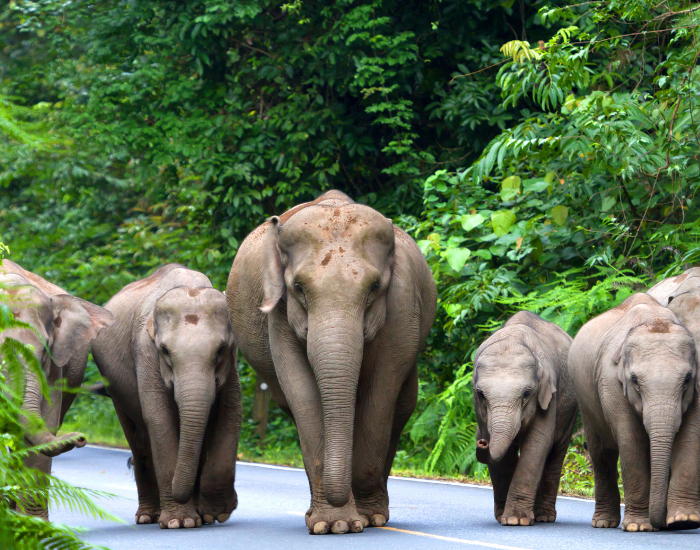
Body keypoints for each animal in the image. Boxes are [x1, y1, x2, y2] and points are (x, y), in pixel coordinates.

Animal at [91, 264, 241, 529]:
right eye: (165, 352)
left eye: (220, 350)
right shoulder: (144, 352)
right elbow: (159, 419)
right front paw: (180, 522)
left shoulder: (232, 364)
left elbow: (230, 414)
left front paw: (215, 513)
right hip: (115, 389)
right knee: (139, 441)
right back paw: (148, 517)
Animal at [227, 190, 437, 534]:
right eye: (298, 287)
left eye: (374, 287)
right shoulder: (279, 316)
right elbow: (301, 393)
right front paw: (333, 524)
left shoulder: (403, 306)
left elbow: (381, 393)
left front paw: (365, 519)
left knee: (402, 405)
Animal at [473, 311, 577, 526]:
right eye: (481, 394)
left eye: (527, 394)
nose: (482, 442)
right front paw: (505, 518)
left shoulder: (549, 395)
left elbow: (537, 444)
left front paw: (516, 520)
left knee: (556, 452)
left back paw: (544, 517)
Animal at [568, 292, 700, 531]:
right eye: (635, 381)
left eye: (687, 380)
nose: (663, 525)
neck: (655, 319)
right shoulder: (610, 381)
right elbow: (631, 440)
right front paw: (639, 526)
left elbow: (690, 436)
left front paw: (683, 521)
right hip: (586, 402)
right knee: (602, 455)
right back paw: (603, 523)